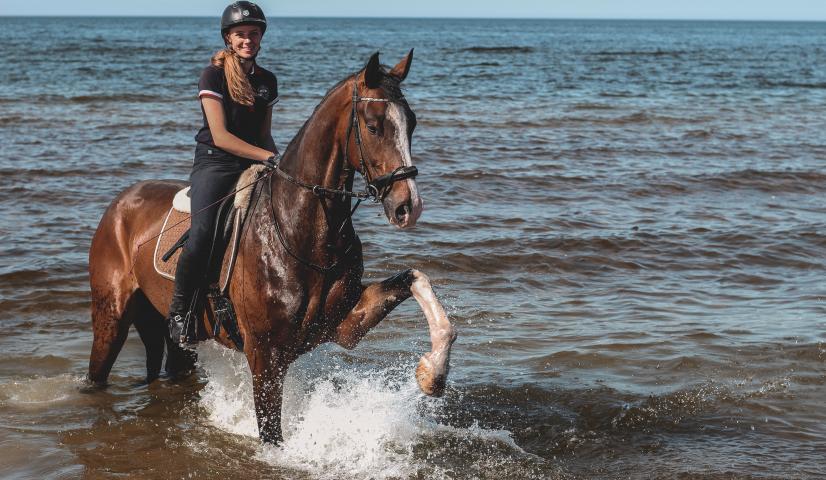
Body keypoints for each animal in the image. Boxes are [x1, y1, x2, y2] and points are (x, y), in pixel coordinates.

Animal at [86, 50, 458, 444]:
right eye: (373, 126)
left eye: (412, 123)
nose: (408, 207)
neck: (300, 231)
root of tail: (120, 203)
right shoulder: (265, 356)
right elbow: (272, 436)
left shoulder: (343, 325)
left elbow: (415, 278)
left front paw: (432, 375)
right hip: (111, 318)